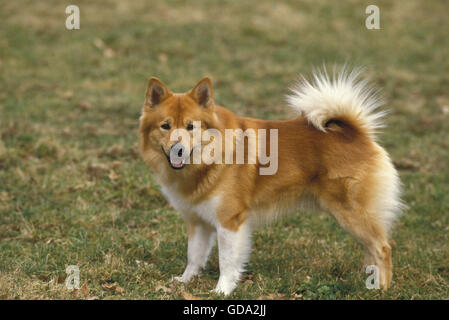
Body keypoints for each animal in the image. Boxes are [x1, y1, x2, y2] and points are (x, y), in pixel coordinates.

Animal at [139, 67, 402, 296]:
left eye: (191, 126)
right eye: (165, 126)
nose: (178, 150)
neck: (207, 160)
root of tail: (357, 134)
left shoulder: (230, 221)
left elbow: (227, 260)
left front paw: (222, 290)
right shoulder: (198, 222)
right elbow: (193, 255)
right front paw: (185, 280)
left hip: (351, 212)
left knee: (382, 247)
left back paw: (381, 288)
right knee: (371, 246)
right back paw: (368, 277)